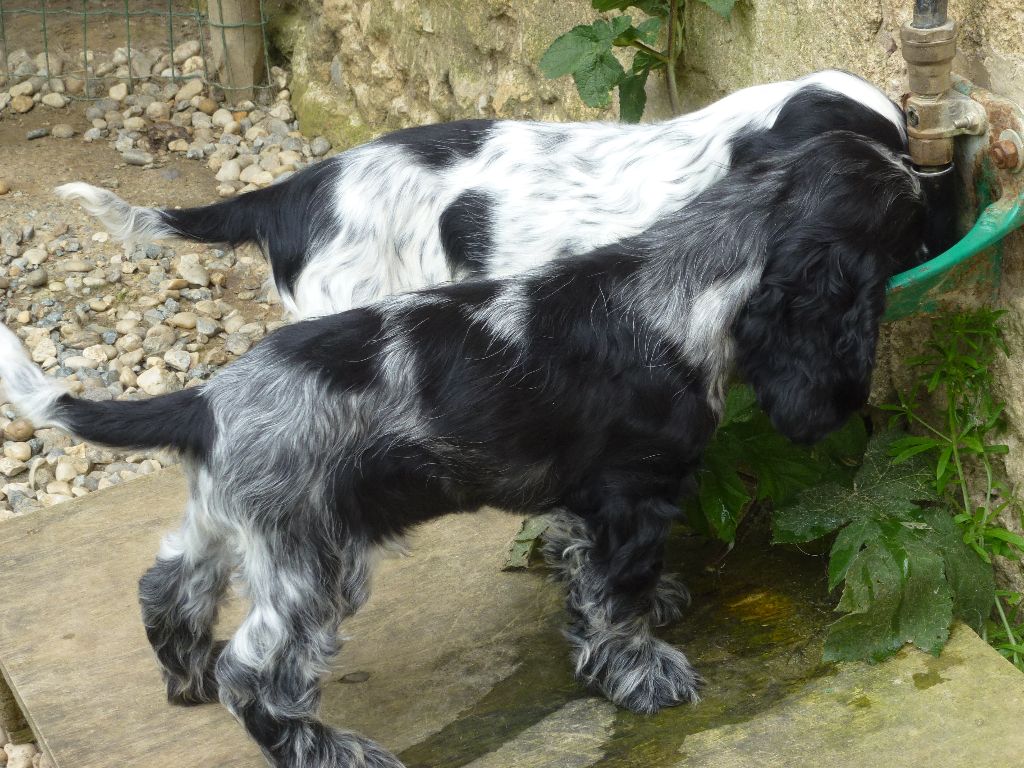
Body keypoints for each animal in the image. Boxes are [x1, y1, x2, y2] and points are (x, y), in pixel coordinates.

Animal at [2, 132, 929, 768]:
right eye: (901, 197)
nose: (936, 179)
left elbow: (582, 567)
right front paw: (642, 670)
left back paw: (183, 678)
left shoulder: (588, 497)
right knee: (254, 674)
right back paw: (327, 748)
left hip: (230, 520)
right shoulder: (634, 492)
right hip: (314, 561)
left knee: (167, 585)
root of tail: (203, 401)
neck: (688, 274)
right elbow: (615, 598)